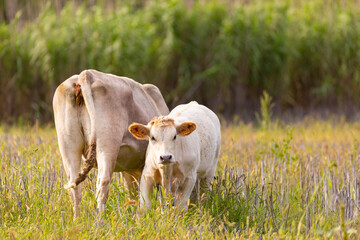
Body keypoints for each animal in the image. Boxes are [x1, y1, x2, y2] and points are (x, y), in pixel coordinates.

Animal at [52, 69, 169, 218]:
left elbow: (134, 193)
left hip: (68, 146)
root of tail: (86, 74)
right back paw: (99, 221)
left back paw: (77, 220)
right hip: (107, 146)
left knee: (75, 188)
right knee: (102, 184)